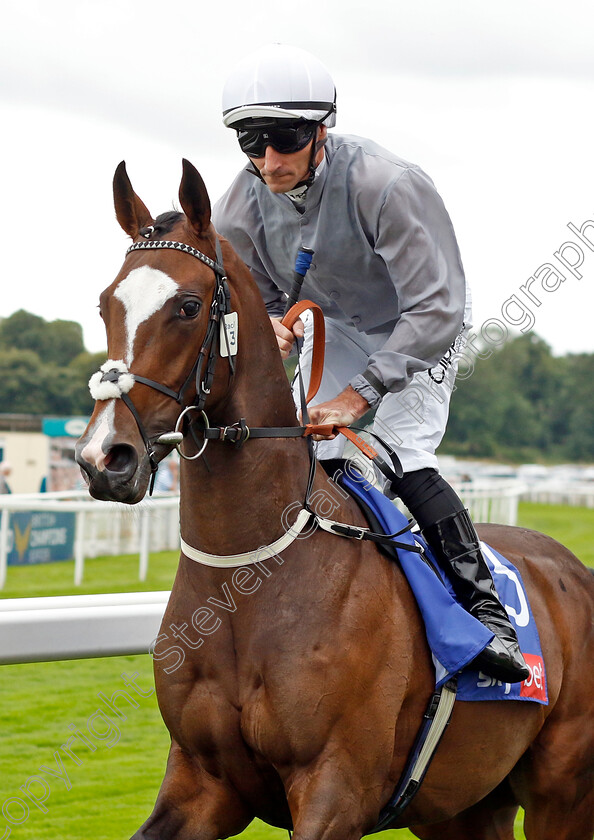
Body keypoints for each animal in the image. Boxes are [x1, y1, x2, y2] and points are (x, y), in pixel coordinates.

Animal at [75, 159, 592, 840]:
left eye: (188, 306)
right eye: (106, 302)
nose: (104, 458)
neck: (246, 583)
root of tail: (574, 569)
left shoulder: (336, 790)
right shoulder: (202, 781)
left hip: (563, 791)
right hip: (465, 805)